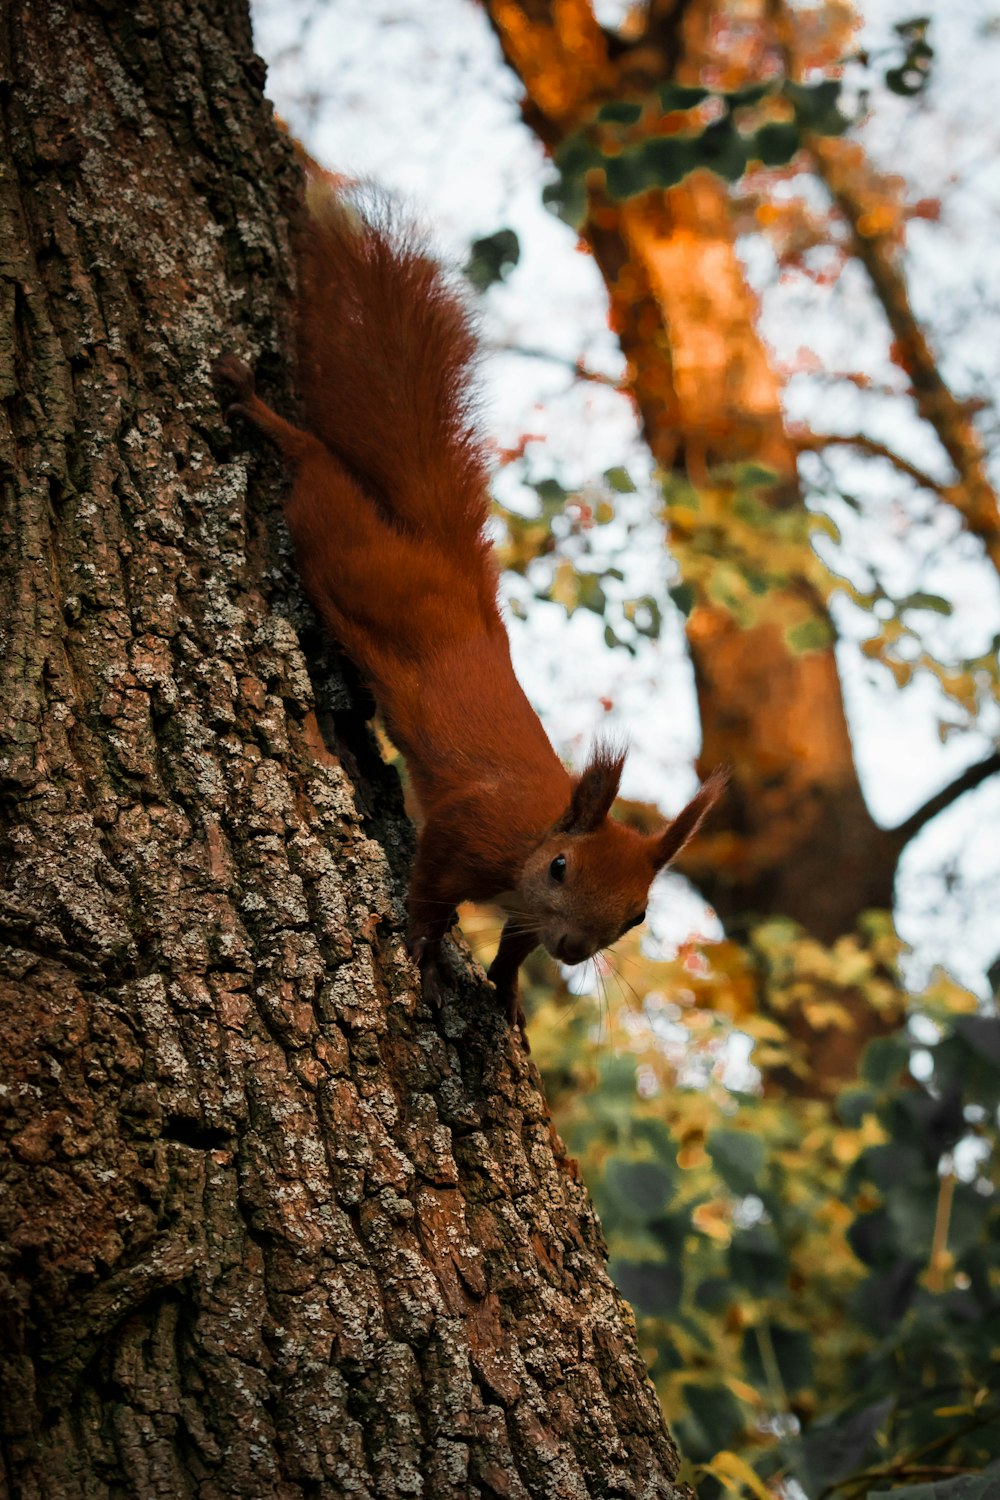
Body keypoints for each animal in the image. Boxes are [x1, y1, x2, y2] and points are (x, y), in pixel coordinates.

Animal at [217, 178, 728, 1044]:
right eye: (561, 867)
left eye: (637, 917)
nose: (574, 949)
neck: (539, 830)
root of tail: (443, 560)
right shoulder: (468, 831)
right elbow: (429, 888)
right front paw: (425, 950)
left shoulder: (522, 909)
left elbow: (515, 944)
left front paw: (507, 986)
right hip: (345, 551)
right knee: (316, 470)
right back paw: (259, 409)